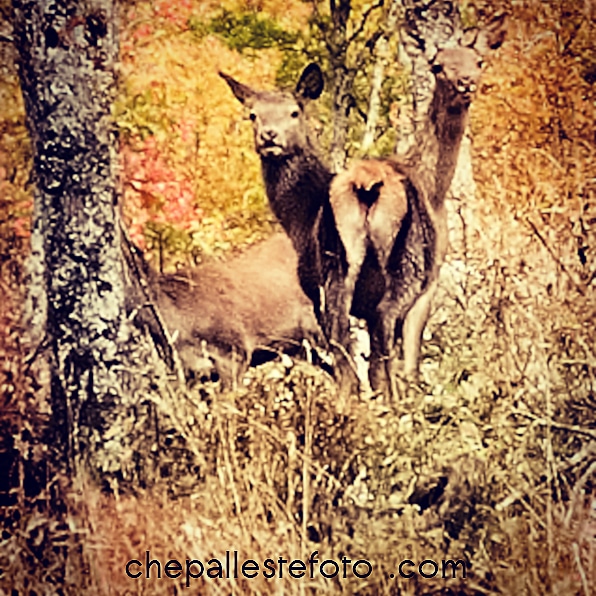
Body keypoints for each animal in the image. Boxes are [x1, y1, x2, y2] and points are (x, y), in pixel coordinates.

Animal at [326, 16, 508, 398]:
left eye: (479, 61)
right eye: (437, 65)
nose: (466, 82)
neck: (435, 189)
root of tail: (366, 186)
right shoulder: (433, 277)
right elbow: (409, 355)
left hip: (339, 261)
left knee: (338, 333)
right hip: (407, 264)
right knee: (385, 322)